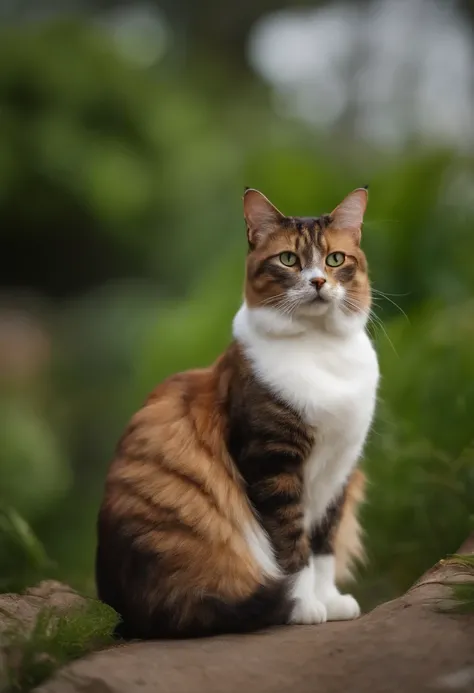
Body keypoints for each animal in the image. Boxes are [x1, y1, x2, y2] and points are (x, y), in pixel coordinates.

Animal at [95, 185, 378, 636]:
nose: (318, 281)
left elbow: (323, 546)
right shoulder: (271, 464)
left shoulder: (340, 469)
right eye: (289, 259)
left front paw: (331, 600)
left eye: (335, 259)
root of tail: (121, 609)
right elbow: (291, 546)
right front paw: (304, 606)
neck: (321, 352)